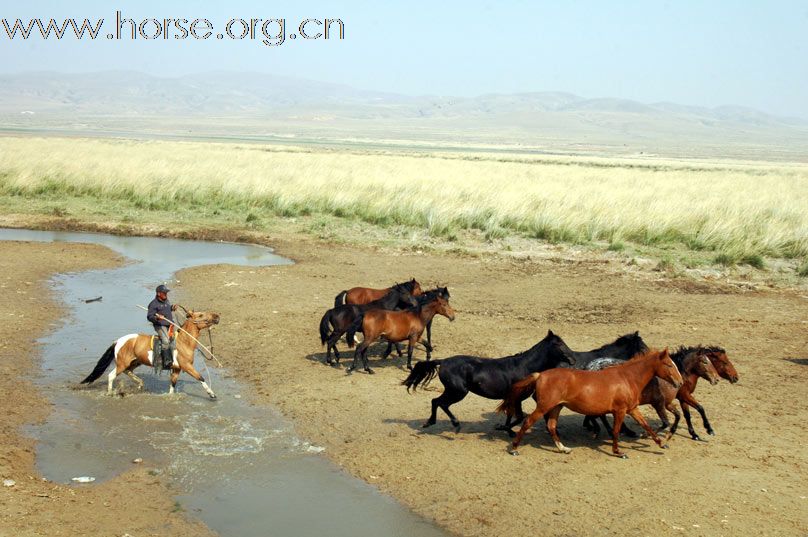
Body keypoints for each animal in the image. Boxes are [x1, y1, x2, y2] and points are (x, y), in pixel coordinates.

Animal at [80, 310, 219, 398]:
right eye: (200, 315)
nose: (216, 316)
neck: (183, 342)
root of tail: (118, 341)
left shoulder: (176, 369)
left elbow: (172, 386)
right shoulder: (187, 366)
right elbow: (200, 378)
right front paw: (212, 394)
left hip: (135, 362)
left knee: (128, 371)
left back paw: (140, 384)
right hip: (122, 363)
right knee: (111, 376)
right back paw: (110, 393)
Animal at [402, 330, 576, 432]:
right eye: (559, 344)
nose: (573, 360)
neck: (525, 367)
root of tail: (443, 361)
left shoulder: (513, 398)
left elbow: (511, 414)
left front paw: (504, 428)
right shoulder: (517, 398)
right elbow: (519, 417)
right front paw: (504, 428)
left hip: (454, 391)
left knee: (436, 402)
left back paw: (432, 422)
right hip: (458, 391)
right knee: (439, 402)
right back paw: (451, 424)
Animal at [498, 348, 680, 456]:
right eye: (669, 365)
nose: (679, 383)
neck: (627, 378)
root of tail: (540, 375)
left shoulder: (632, 409)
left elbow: (646, 426)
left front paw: (661, 444)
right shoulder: (620, 411)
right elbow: (615, 431)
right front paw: (618, 452)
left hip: (557, 407)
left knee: (551, 426)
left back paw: (563, 448)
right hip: (545, 406)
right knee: (528, 422)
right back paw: (514, 448)